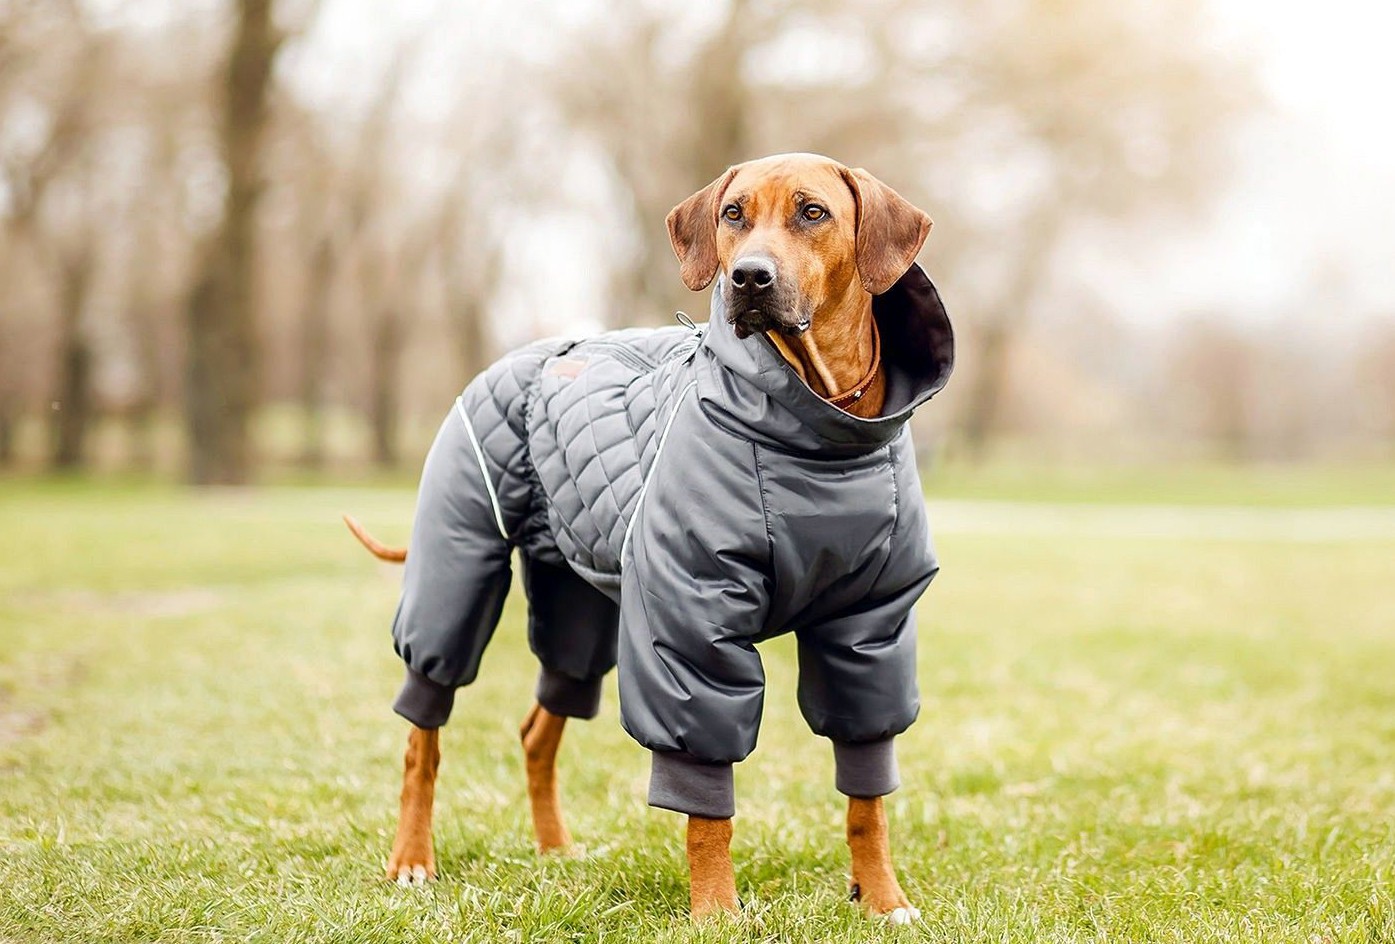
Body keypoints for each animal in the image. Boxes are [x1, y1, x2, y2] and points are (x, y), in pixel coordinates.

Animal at [351, 151, 959, 914]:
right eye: (732, 214)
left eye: (812, 212)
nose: (747, 278)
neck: (819, 435)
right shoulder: (690, 621)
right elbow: (705, 800)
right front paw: (716, 910)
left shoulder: (868, 626)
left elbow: (866, 792)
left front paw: (881, 897)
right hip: (456, 568)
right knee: (423, 730)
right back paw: (411, 858)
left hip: (578, 604)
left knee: (540, 725)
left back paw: (555, 849)